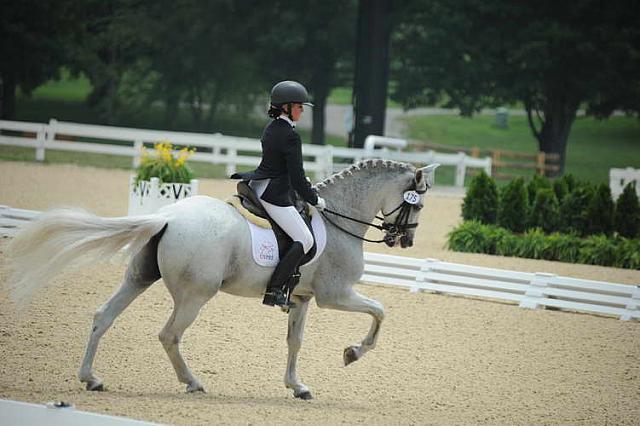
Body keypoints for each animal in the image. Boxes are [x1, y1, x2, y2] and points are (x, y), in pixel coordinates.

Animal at [5, 159, 438, 400]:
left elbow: (295, 342)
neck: (339, 218)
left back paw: (91, 378)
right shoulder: (336, 295)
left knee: (103, 317)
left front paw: (297, 387)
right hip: (195, 295)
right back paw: (193, 383)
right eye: (416, 204)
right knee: (169, 335)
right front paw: (352, 353)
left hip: (139, 277)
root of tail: (167, 217)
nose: (405, 240)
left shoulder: (300, 299)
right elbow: (380, 312)